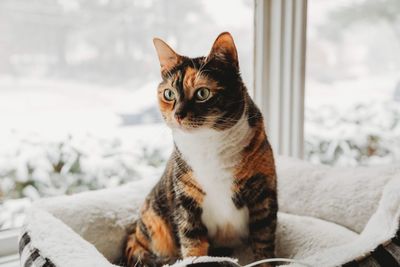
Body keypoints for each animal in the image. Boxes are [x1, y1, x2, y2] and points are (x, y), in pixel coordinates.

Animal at [125, 31, 278, 267]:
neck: (209, 144)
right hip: (154, 221)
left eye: (202, 93)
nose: (178, 114)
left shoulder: (263, 195)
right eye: (169, 94)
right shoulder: (186, 203)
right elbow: (193, 244)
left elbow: (263, 243)